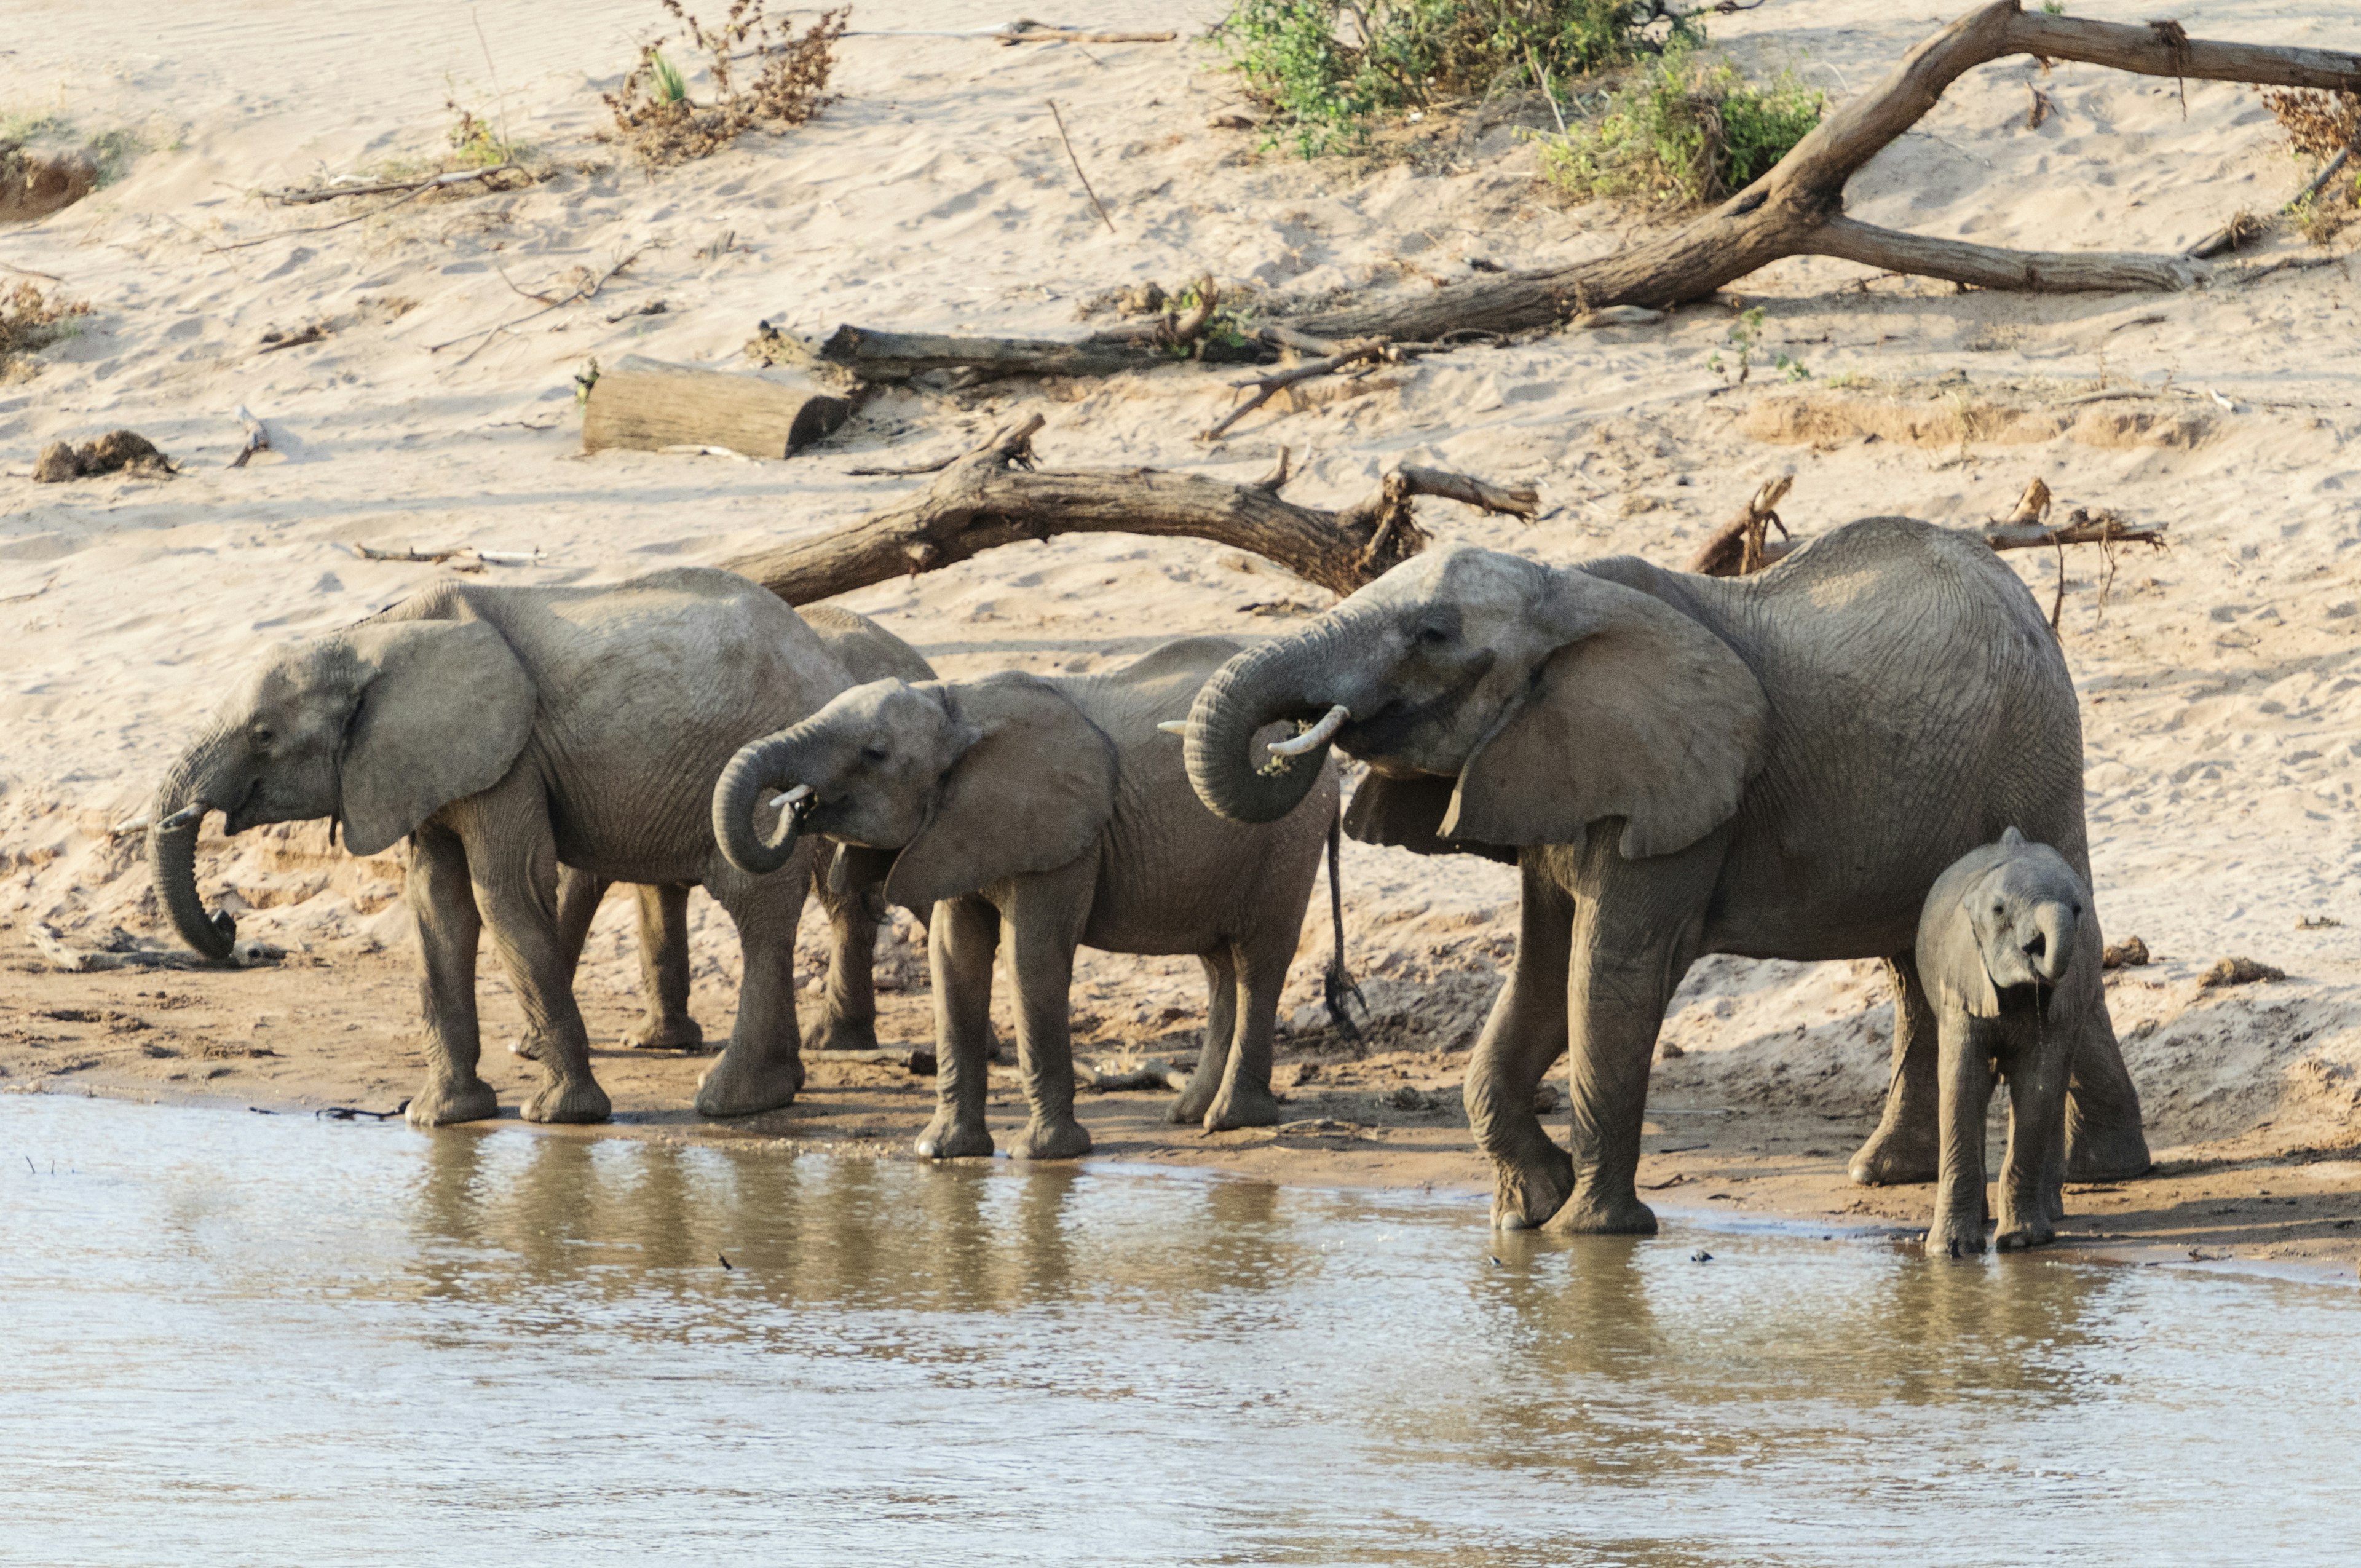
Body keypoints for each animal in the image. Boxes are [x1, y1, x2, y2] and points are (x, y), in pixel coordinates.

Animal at [145, 569, 892, 1133]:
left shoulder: (507, 758)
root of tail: (826, 660)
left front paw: (559, 1117)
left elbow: (502, 891)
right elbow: (436, 905)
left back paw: (729, 1102)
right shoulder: (425, 765)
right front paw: (440, 1118)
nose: (228, 922)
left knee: (755, 906)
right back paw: (776, 1091)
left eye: (264, 736)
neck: (367, 639)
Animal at [708, 637, 1350, 1162]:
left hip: (1287, 836)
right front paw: (939, 1153)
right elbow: (954, 960)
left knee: (1257, 962)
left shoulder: (1061, 839)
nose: (795, 805)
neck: (958, 709)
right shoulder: (960, 829)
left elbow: (1031, 958)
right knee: (1219, 967)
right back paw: (1188, 1114)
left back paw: (1230, 1120)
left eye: (875, 754)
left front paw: (1042, 1156)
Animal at [1907, 826, 2096, 1256]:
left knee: (2055, 1085)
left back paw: (2050, 1214)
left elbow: (2038, 1085)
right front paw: (1950, 1250)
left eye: (2078, 910)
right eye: (1998, 911)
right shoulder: (1960, 978)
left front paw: (2022, 1241)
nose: (2036, 950)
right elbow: (1961, 1082)